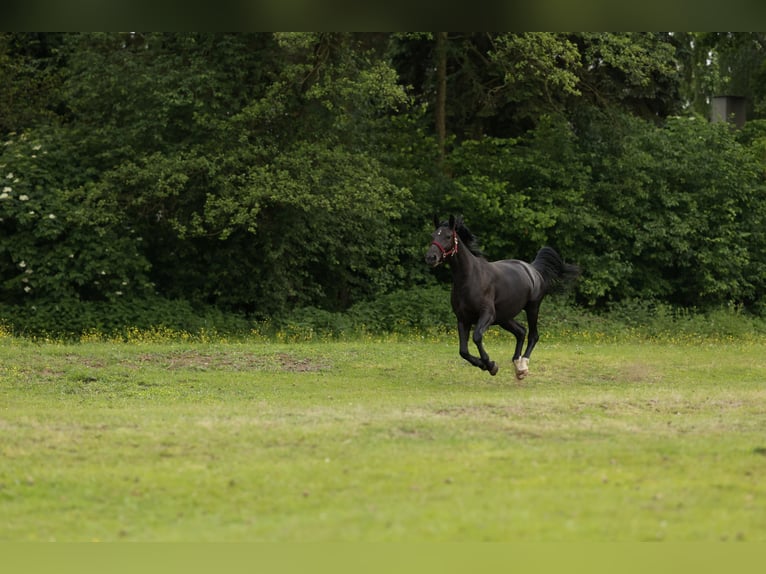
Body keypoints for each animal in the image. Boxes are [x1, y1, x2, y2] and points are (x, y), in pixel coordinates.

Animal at [425, 215, 580, 379]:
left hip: (532, 308)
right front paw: (484, 365)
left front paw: (490, 364)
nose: (430, 257)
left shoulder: (487, 314)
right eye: (433, 236)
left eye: (448, 236)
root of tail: (532, 269)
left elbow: (477, 337)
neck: (470, 278)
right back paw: (517, 365)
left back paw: (523, 365)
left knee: (533, 335)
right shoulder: (462, 319)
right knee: (521, 331)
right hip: (504, 317)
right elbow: (463, 351)